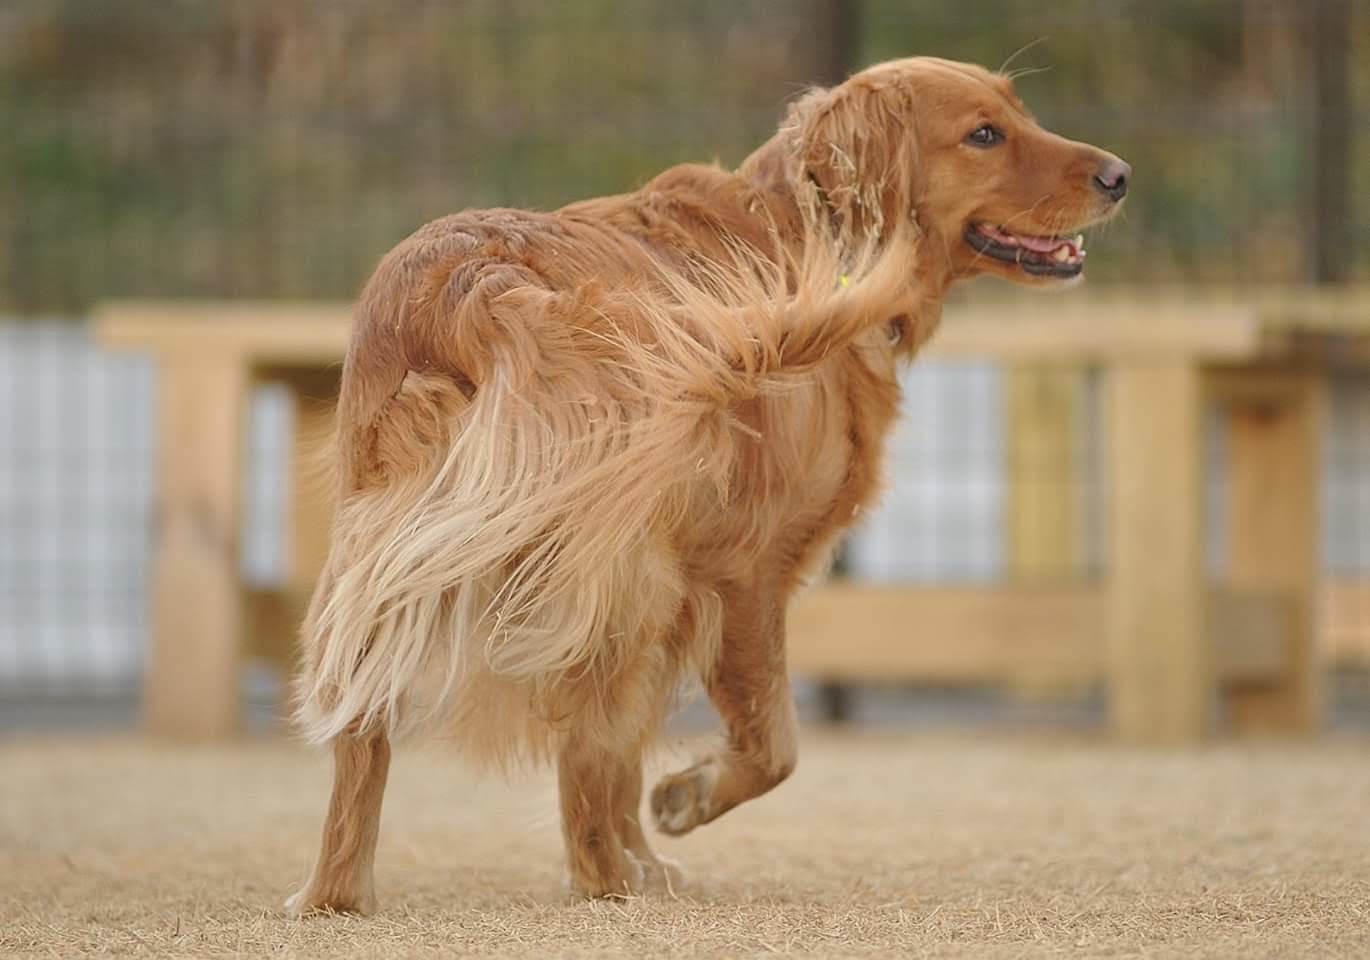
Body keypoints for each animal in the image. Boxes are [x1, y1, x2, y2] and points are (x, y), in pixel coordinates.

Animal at [283, 54, 1128, 914]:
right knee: (584, 744)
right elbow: (768, 746)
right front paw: (683, 802)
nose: (1120, 175)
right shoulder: (741, 570)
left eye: (1020, 112)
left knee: (366, 734)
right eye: (983, 135)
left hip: (391, 561)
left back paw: (338, 896)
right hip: (610, 573)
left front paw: (651, 850)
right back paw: (605, 882)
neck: (807, 230)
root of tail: (476, 284)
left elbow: (629, 756)